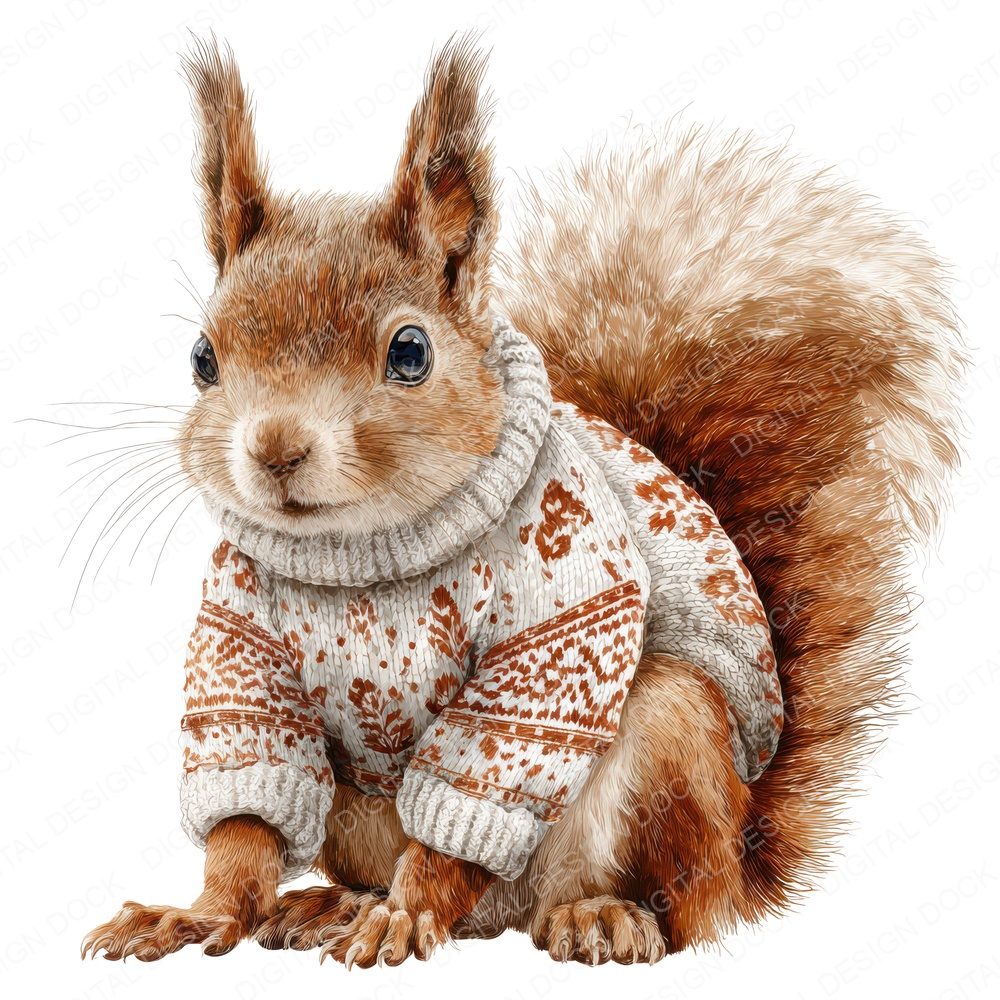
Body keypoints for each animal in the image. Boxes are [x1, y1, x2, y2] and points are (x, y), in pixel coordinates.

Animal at [81, 35, 966, 967]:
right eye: (202, 358)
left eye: (409, 352)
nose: (275, 448)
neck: (363, 557)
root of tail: (743, 851)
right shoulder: (242, 636)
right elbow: (249, 789)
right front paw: (200, 912)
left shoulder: (560, 612)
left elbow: (492, 761)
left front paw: (405, 914)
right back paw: (335, 900)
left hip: (673, 740)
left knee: (679, 911)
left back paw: (596, 914)